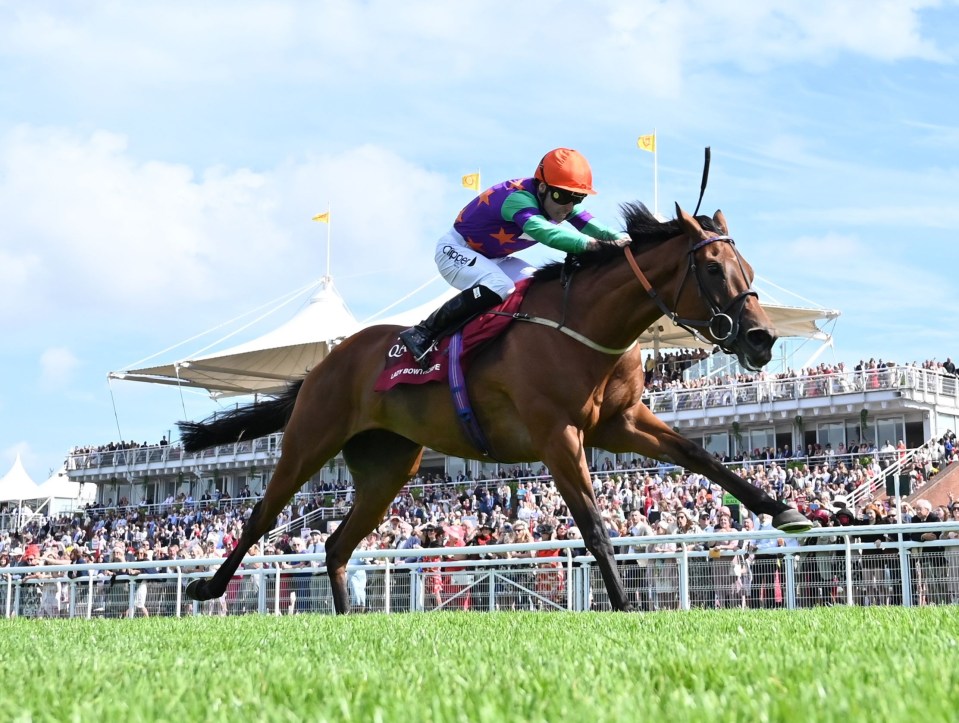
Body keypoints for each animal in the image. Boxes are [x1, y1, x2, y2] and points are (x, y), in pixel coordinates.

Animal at [178, 201, 808, 612]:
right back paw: (205, 586)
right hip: (312, 439)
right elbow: (593, 525)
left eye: (749, 271)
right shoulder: (558, 435)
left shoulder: (622, 423)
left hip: (388, 466)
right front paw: (626, 606)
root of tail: (325, 362)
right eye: (712, 269)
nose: (761, 338)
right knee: (262, 516)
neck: (585, 326)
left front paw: (787, 511)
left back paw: (349, 618)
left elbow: (704, 458)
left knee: (336, 543)